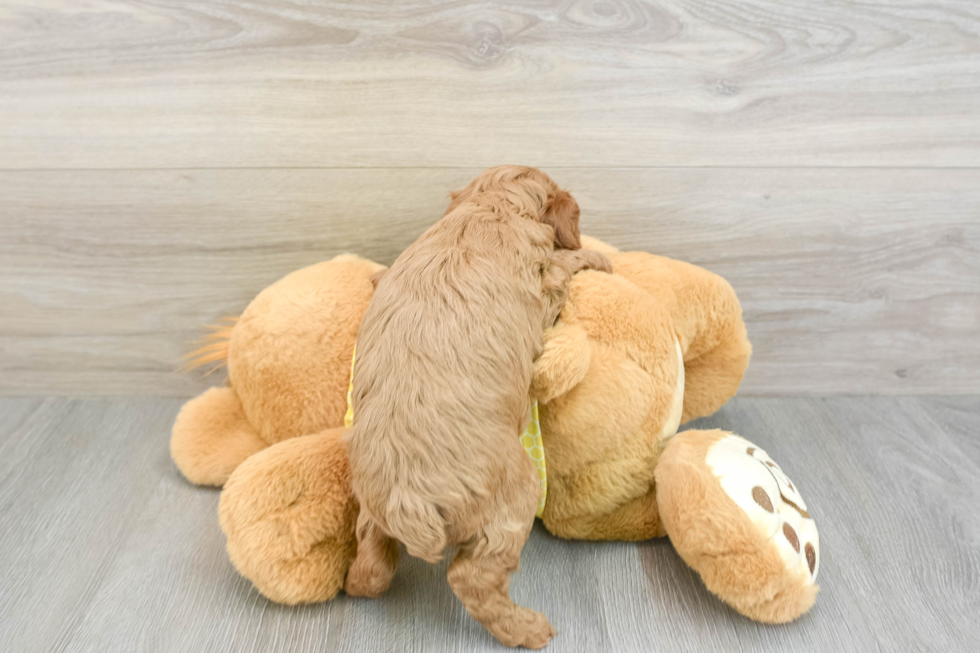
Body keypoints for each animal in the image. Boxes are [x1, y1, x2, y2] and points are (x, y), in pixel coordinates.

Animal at [340, 164, 608, 648]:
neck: (490, 206)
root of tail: (408, 502)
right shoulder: (544, 285)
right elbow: (564, 265)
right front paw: (596, 257)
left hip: (370, 503)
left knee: (373, 556)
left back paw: (354, 583)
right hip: (515, 497)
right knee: (471, 578)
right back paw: (527, 629)